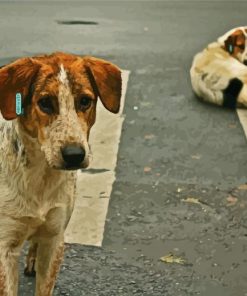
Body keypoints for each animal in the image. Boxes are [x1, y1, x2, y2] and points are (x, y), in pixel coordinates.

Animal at [0, 52, 121, 294]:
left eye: (84, 101)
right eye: (45, 103)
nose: (74, 155)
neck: (39, 175)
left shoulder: (55, 238)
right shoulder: (4, 244)